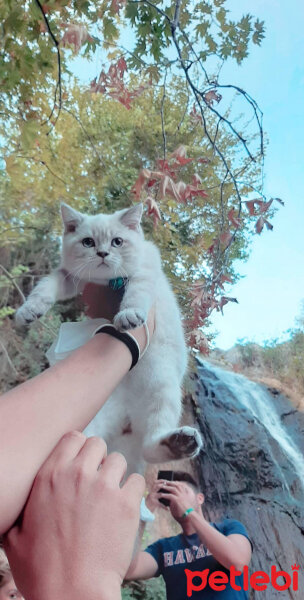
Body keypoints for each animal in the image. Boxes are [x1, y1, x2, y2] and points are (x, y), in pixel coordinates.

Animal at [16, 204, 202, 476]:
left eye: (117, 241)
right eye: (88, 242)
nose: (102, 253)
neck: (107, 282)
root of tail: (126, 420)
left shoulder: (145, 270)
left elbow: (136, 294)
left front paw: (128, 316)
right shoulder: (69, 277)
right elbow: (44, 287)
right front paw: (29, 310)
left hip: (163, 388)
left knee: (151, 444)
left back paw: (179, 442)